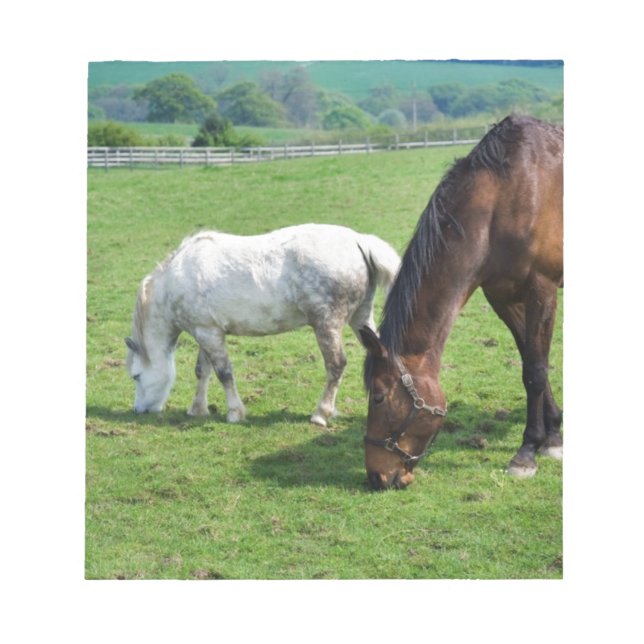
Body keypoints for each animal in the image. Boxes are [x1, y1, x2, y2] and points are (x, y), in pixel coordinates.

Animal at [125, 223, 400, 427]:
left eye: (136, 376)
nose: (140, 410)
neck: (177, 279)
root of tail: (358, 241)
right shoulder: (206, 332)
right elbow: (203, 371)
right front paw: (197, 409)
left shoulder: (209, 334)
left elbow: (224, 373)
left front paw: (234, 413)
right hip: (361, 318)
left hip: (327, 325)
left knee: (336, 365)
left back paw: (321, 413)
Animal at [360, 115, 563, 490]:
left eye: (379, 397)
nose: (377, 476)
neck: (506, 195)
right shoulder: (503, 296)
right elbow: (531, 358)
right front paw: (553, 433)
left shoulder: (541, 289)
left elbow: (536, 371)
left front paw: (528, 450)